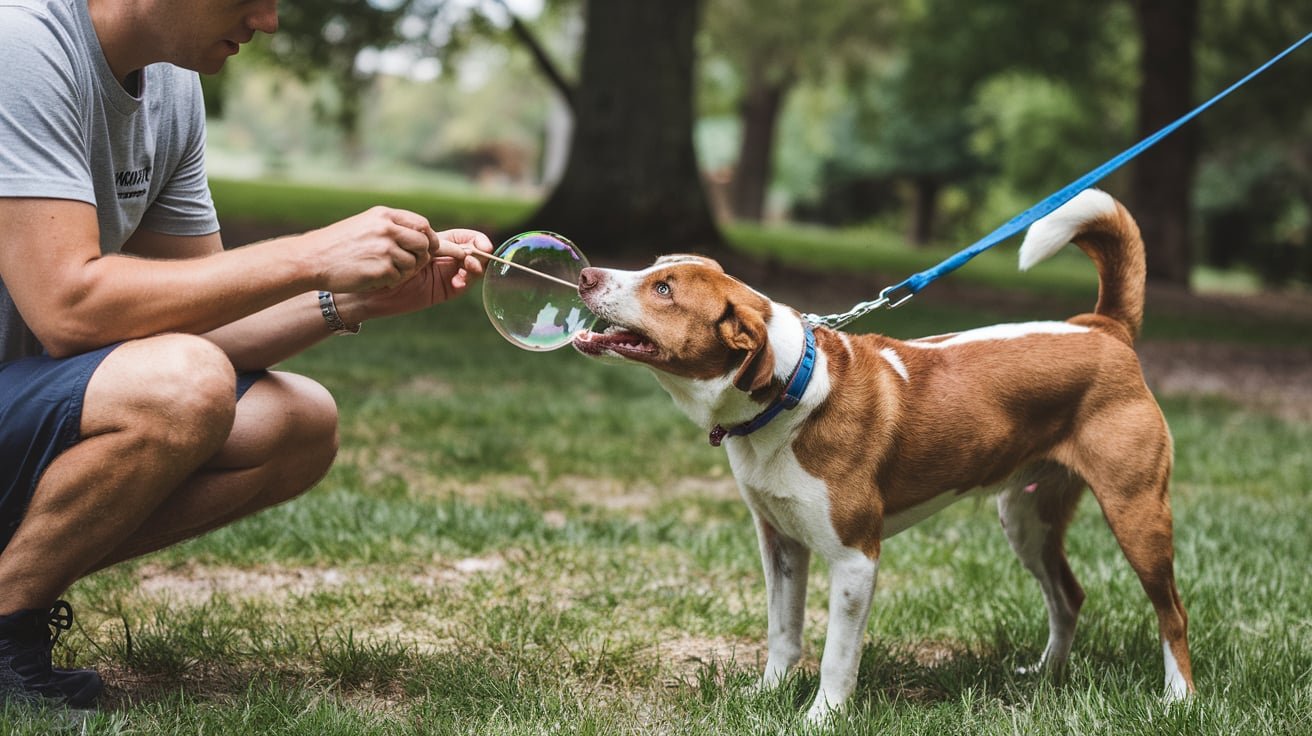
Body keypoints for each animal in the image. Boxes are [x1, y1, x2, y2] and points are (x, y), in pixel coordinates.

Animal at [572, 187, 1191, 718]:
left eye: (664, 290)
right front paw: (766, 696)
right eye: (654, 268)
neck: (792, 392)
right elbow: (783, 634)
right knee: (1069, 596)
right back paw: (1046, 676)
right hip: (1025, 518)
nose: (585, 273)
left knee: (1172, 612)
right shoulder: (780, 542)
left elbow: (836, 657)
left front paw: (821, 717)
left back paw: (1178, 698)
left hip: (1136, 514)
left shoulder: (855, 558)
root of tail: (1102, 329)